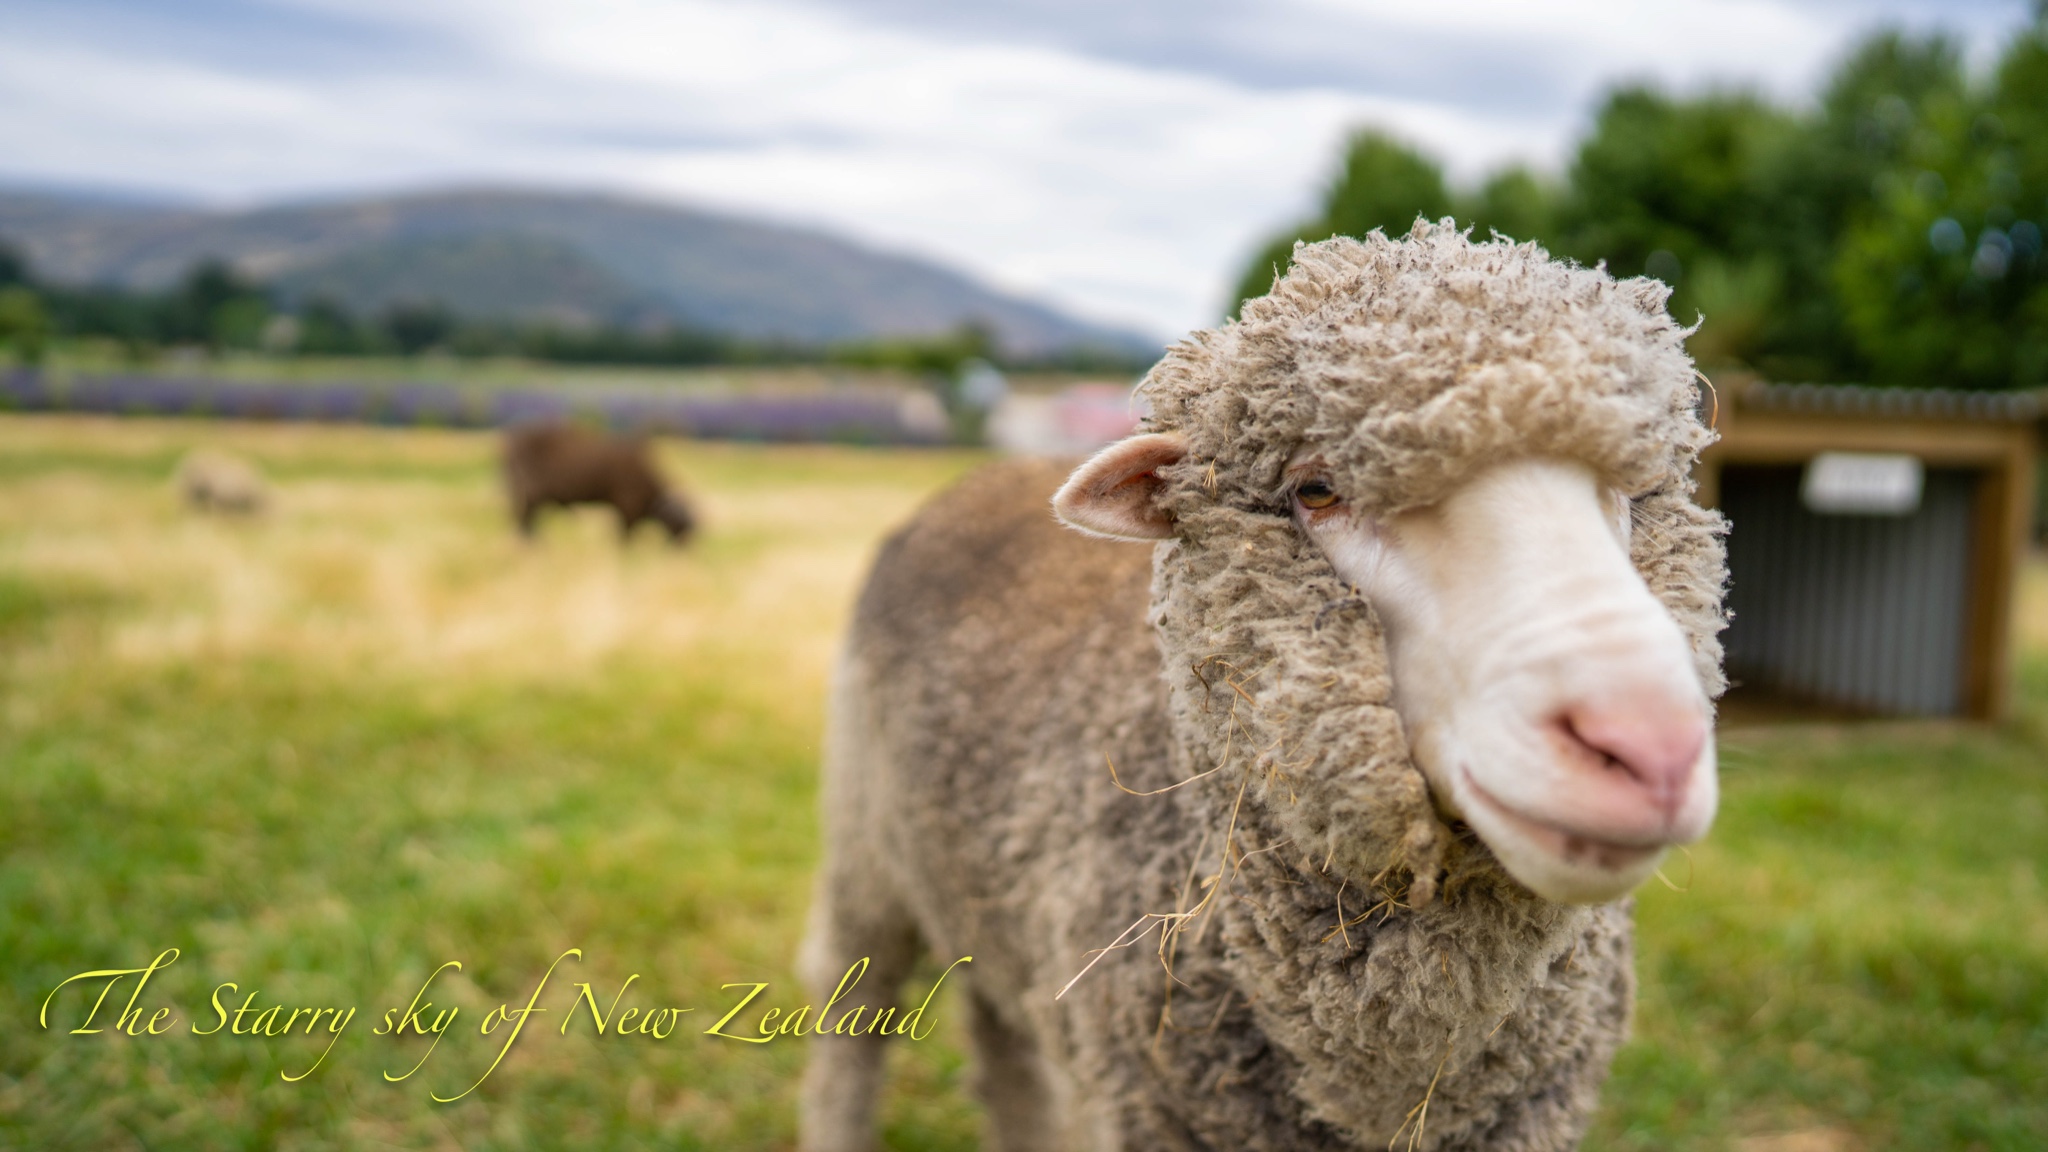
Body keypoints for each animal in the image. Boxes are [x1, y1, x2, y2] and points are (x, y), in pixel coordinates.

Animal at [501, 422, 696, 541]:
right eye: (679, 525)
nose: (682, 549)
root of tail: (512, 441)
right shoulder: (627, 508)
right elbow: (625, 534)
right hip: (529, 497)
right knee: (526, 521)